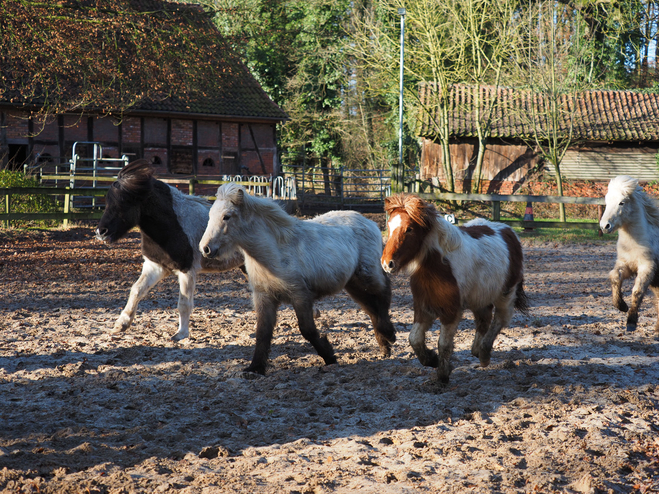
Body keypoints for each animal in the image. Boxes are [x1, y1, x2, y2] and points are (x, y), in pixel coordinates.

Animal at [95, 160, 242, 342]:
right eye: (108, 201)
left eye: (125, 202)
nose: (101, 232)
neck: (173, 225)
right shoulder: (155, 266)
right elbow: (136, 290)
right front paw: (121, 324)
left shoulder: (187, 271)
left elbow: (184, 303)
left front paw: (181, 334)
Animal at [200, 183, 398, 376]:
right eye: (209, 216)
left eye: (226, 216)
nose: (205, 248)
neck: (274, 253)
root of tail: (369, 222)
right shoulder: (264, 298)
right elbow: (262, 333)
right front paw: (255, 368)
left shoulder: (300, 295)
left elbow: (307, 330)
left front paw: (329, 356)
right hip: (353, 284)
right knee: (371, 308)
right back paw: (384, 346)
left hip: (367, 275)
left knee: (383, 294)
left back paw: (389, 335)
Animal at [378, 195, 528, 384]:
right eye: (389, 226)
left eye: (409, 229)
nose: (387, 264)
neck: (439, 265)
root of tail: (509, 231)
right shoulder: (423, 308)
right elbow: (414, 338)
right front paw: (431, 360)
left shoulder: (450, 311)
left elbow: (443, 344)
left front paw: (443, 373)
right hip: (480, 298)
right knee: (484, 320)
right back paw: (477, 349)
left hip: (506, 294)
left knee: (500, 320)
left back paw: (484, 353)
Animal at [600, 174, 659, 332]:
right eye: (607, 201)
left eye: (621, 203)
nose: (604, 226)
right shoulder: (626, 265)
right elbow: (614, 276)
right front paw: (621, 305)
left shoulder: (647, 268)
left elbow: (637, 291)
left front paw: (631, 321)